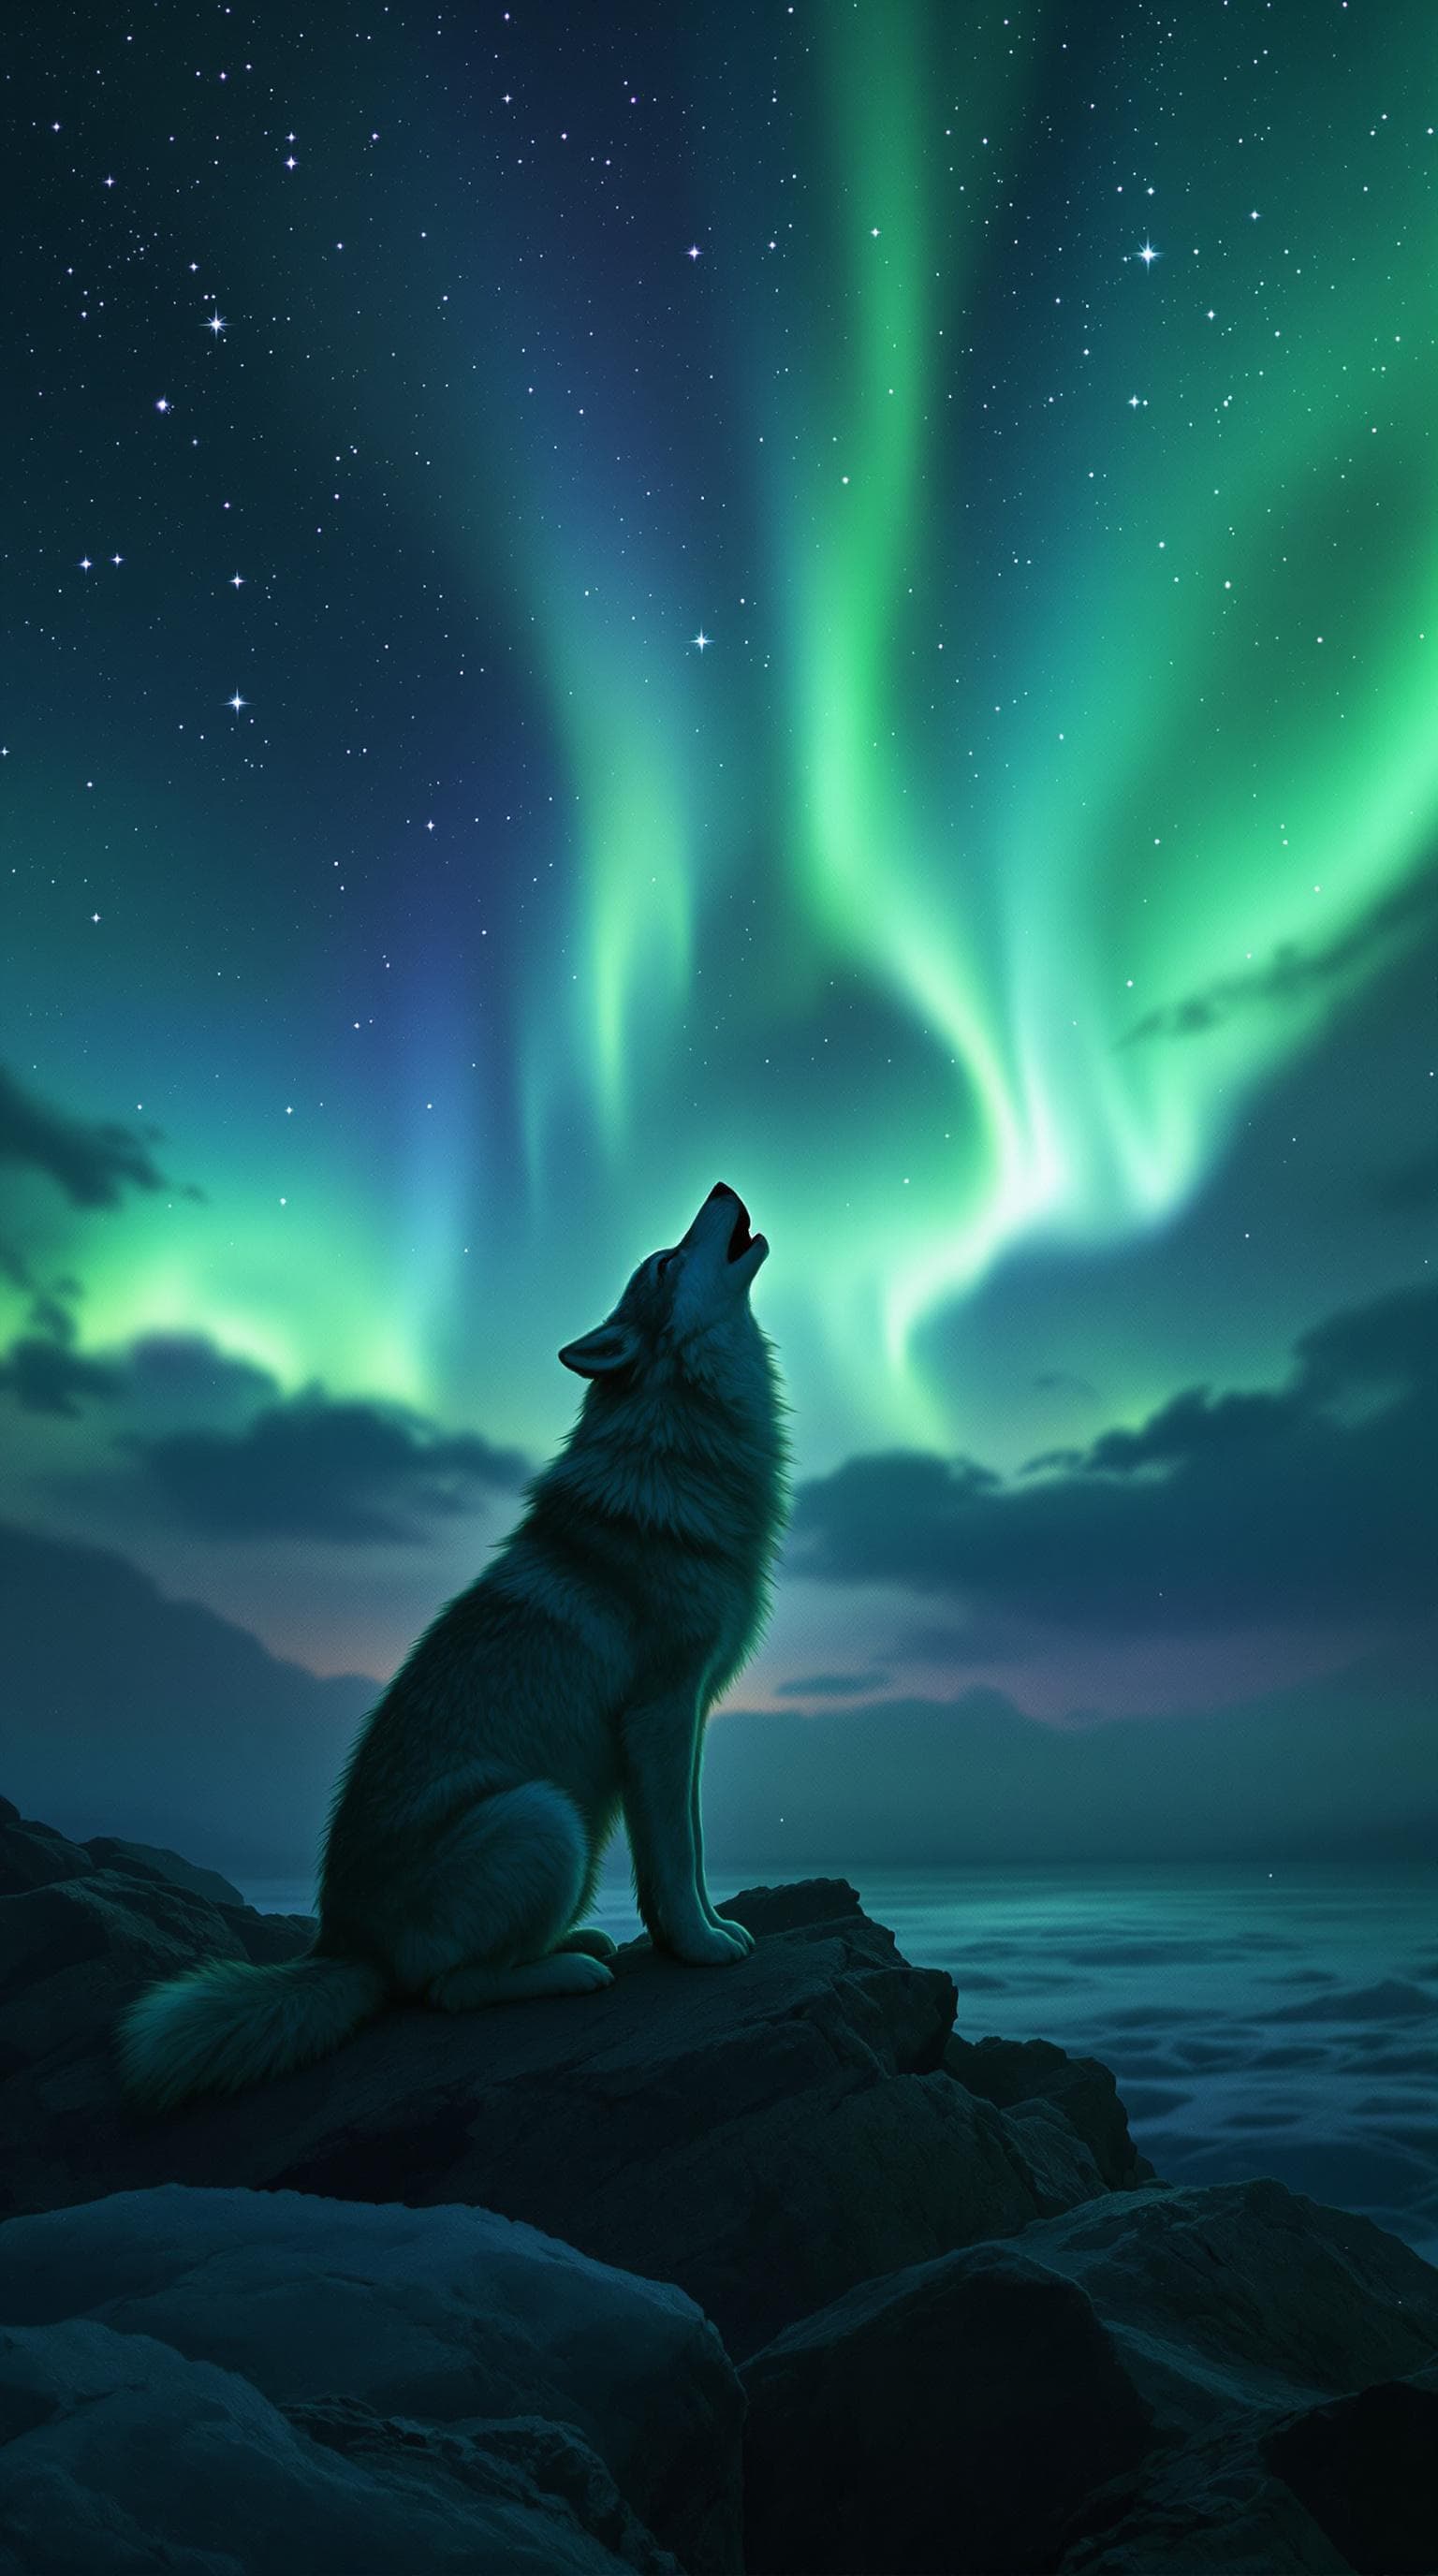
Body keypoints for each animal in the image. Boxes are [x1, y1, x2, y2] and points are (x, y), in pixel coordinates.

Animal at [116, 1181, 791, 2111]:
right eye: (663, 1263)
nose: (722, 1187)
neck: (682, 1441)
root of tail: (343, 1944)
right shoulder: (660, 1713)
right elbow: (674, 1855)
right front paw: (701, 1946)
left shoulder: (686, 1719)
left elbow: (684, 1845)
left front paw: (713, 1924)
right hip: (548, 1816)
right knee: (447, 1991)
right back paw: (572, 1969)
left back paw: (579, 1945)